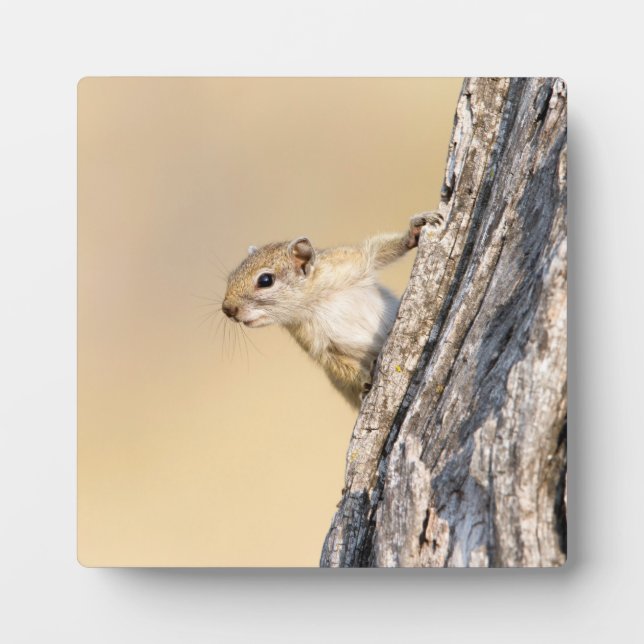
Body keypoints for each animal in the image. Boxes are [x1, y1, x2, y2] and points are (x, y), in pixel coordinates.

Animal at [221, 212, 444, 408]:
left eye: (265, 280)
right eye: (231, 276)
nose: (227, 309)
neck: (316, 300)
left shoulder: (350, 262)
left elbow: (376, 251)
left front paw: (416, 229)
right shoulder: (316, 343)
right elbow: (338, 365)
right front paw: (364, 381)